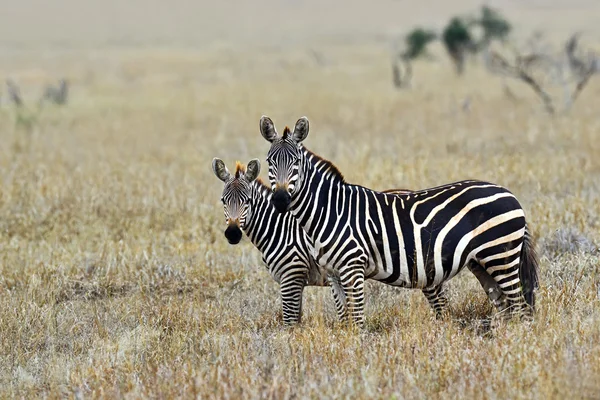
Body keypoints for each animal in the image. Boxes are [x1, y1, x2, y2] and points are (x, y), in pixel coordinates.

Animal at [213, 157, 424, 324]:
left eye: (247, 201)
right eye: (223, 201)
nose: (232, 234)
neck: (278, 227)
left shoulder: (292, 275)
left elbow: (290, 322)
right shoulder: (296, 280)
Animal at [260, 115, 540, 328]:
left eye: (296, 162)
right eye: (269, 162)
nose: (281, 200)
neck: (328, 211)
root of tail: (509, 193)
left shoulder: (353, 267)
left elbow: (357, 320)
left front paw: (357, 354)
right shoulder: (333, 274)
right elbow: (345, 321)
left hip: (501, 255)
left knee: (520, 307)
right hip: (481, 262)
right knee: (504, 307)